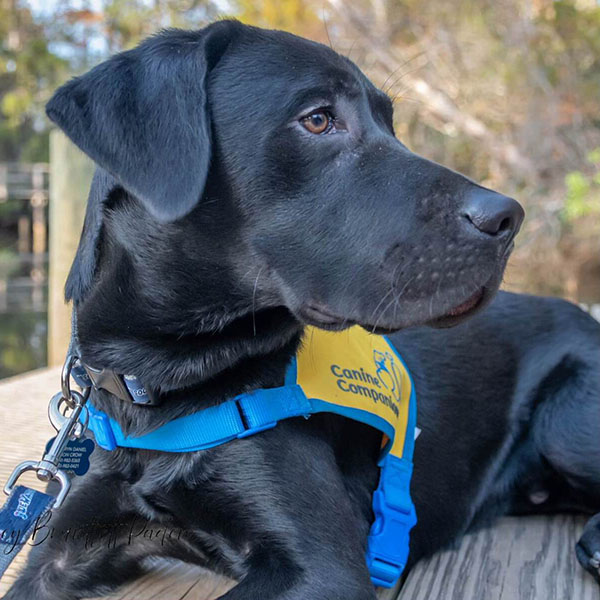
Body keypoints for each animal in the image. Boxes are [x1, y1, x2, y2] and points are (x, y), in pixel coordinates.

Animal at [4, 21, 528, 596]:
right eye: (318, 119)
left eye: (391, 125)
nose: (508, 218)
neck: (163, 385)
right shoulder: (61, 545)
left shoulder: (322, 566)